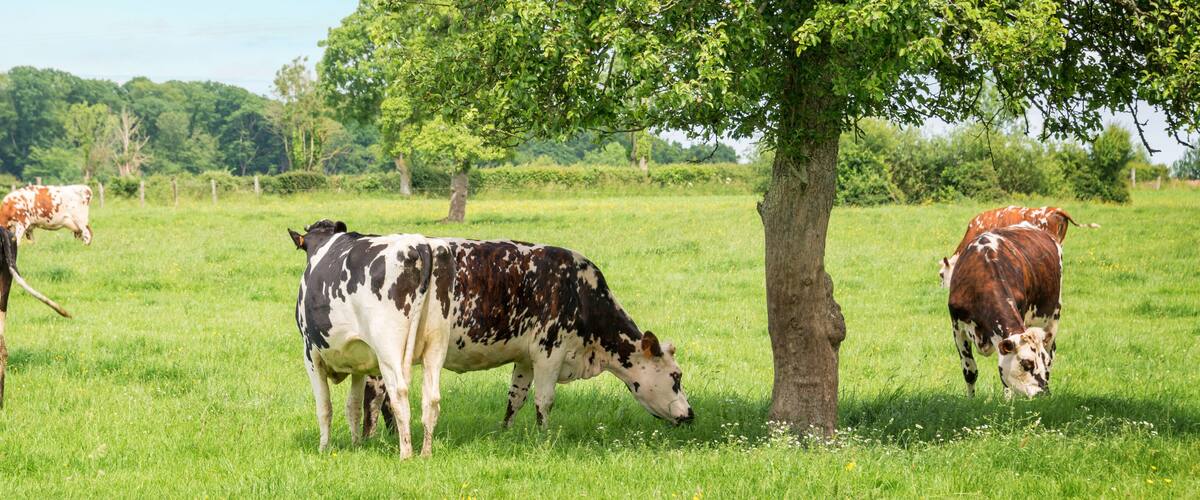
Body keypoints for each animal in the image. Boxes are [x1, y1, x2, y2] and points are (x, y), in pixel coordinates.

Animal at [289, 220, 692, 458]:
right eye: (676, 377)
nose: (690, 414)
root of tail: (419, 245)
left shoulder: (526, 357)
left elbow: (515, 399)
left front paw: (507, 434)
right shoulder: (549, 350)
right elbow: (544, 401)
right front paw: (544, 440)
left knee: (394, 397)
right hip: (386, 352)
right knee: (381, 398)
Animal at [948, 222, 1062, 398]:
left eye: (1042, 362)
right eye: (1026, 363)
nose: (1042, 394)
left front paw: (1007, 401)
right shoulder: (957, 327)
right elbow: (970, 371)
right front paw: (971, 399)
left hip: (1053, 317)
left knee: (1052, 351)